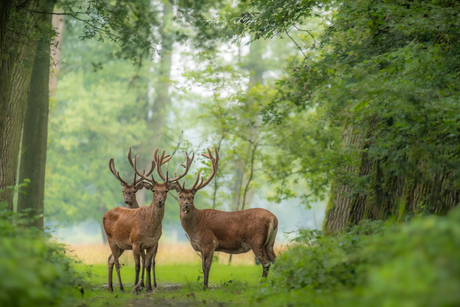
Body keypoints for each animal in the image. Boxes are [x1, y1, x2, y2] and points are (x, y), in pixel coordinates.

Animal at [103, 149, 193, 294]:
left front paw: (148, 288)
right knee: (116, 261)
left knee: (110, 259)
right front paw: (136, 287)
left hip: (120, 245)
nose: (160, 200)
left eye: (166, 190)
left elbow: (148, 265)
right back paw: (120, 288)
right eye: (154, 190)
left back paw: (110, 287)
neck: (150, 228)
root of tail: (104, 215)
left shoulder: (152, 244)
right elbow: (137, 265)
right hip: (111, 238)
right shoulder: (135, 242)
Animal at [174, 149, 278, 292]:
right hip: (269, 242)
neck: (194, 227)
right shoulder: (202, 247)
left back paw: (261, 285)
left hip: (257, 240)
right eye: (180, 196)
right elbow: (203, 266)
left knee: (266, 263)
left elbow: (206, 267)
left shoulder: (209, 243)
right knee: (276, 260)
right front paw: (204, 286)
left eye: (192, 196)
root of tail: (274, 218)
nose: (186, 205)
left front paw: (205, 287)